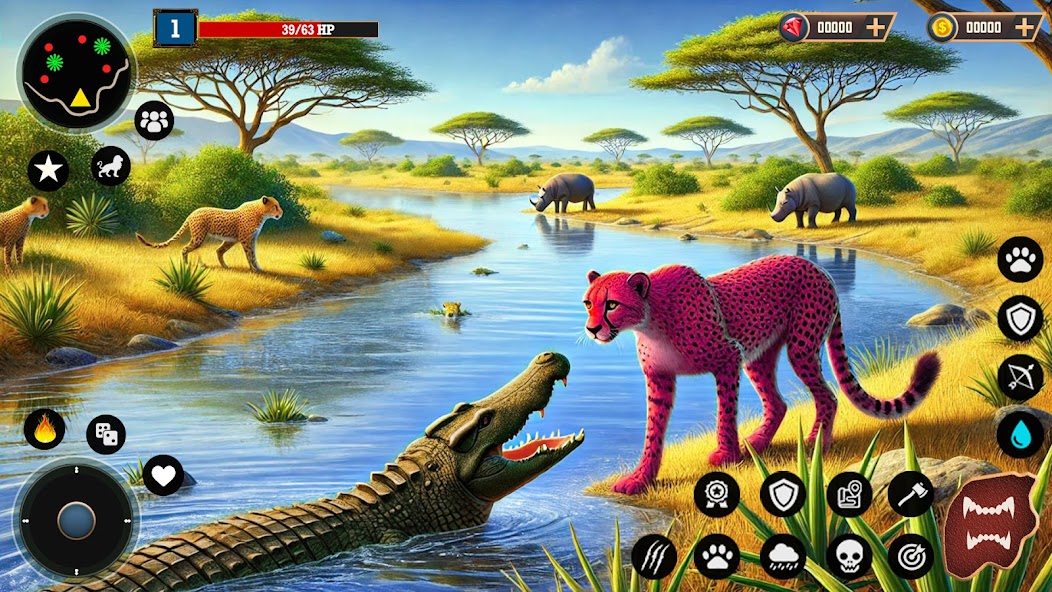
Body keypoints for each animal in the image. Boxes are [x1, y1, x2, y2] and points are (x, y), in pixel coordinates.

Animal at [136, 196, 283, 272]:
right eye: (275, 206)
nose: (281, 213)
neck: (260, 213)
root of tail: (193, 212)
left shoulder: (252, 239)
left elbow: (253, 254)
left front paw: (258, 268)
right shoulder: (245, 240)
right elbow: (249, 255)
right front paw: (253, 269)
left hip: (221, 240)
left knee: (217, 251)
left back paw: (222, 266)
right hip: (199, 238)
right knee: (185, 248)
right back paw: (186, 265)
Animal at [583, 255, 941, 495]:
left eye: (612, 304)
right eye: (588, 303)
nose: (592, 329)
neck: (651, 319)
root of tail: (817, 267)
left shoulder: (729, 357)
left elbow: (725, 413)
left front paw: (726, 455)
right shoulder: (660, 378)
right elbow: (653, 431)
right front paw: (640, 478)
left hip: (801, 347)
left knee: (828, 395)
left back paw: (816, 443)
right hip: (759, 357)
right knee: (778, 403)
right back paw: (756, 442)